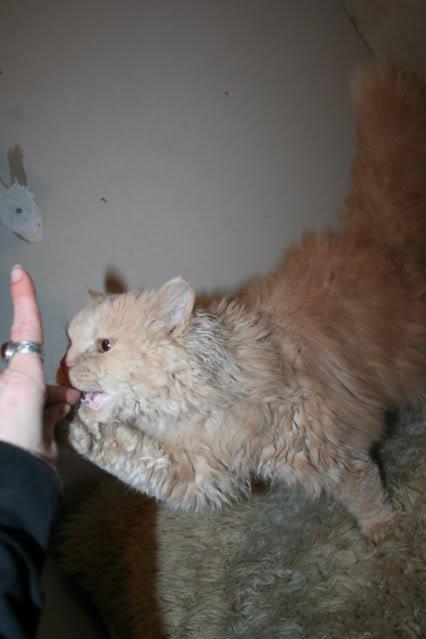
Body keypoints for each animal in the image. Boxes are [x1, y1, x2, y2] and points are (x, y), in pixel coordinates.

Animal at [62, 67, 426, 544]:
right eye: (68, 344)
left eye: (103, 345)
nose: (65, 368)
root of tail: (368, 241)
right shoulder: (199, 471)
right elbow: (136, 460)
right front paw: (80, 433)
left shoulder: (328, 450)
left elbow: (363, 488)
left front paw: (380, 528)